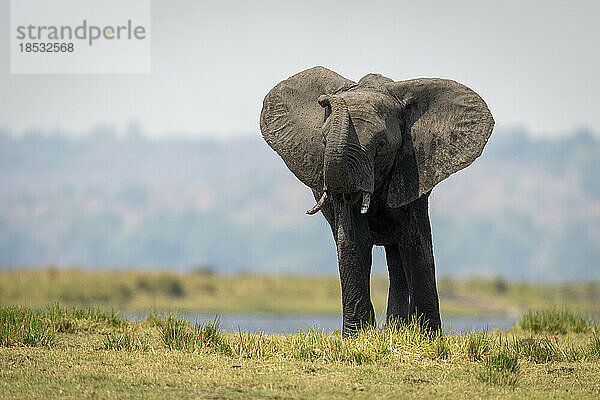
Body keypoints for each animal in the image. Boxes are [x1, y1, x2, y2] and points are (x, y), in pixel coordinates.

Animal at [260, 67, 494, 336]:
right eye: (323, 140)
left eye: (381, 145)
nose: (326, 99)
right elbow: (354, 238)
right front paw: (356, 336)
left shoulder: (412, 167)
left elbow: (416, 240)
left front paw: (428, 336)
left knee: (399, 251)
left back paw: (399, 328)